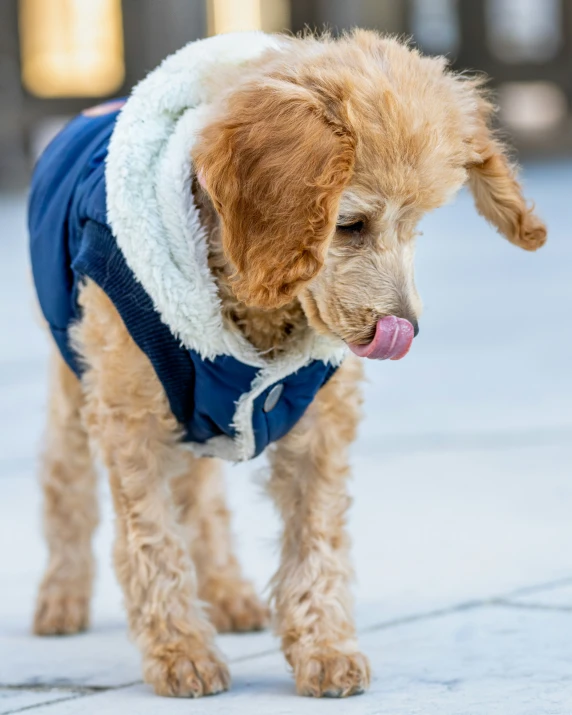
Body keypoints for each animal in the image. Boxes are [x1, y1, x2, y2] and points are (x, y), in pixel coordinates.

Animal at [30, 29, 544, 700]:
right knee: (66, 482)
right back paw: (60, 598)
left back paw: (229, 594)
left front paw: (325, 649)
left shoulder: (317, 424)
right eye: (349, 224)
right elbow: (152, 539)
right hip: (75, 375)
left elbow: (315, 539)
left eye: (417, 227)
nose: (403, 330)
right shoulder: (128, 415)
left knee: (202, 497)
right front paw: (181, 653)